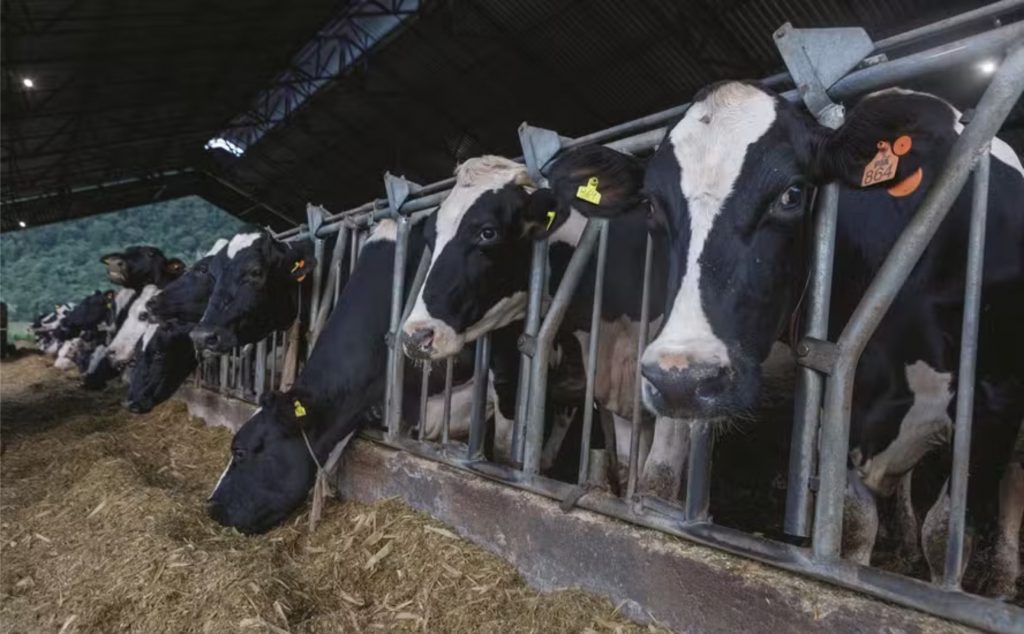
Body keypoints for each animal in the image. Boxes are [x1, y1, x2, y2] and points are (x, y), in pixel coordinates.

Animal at [540, 82, 1019, 594]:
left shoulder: (994, 404)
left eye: (792, 194)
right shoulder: (843, 402)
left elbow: (946, 532)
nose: (682, 379)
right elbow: (854, 524)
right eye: (650, 204)